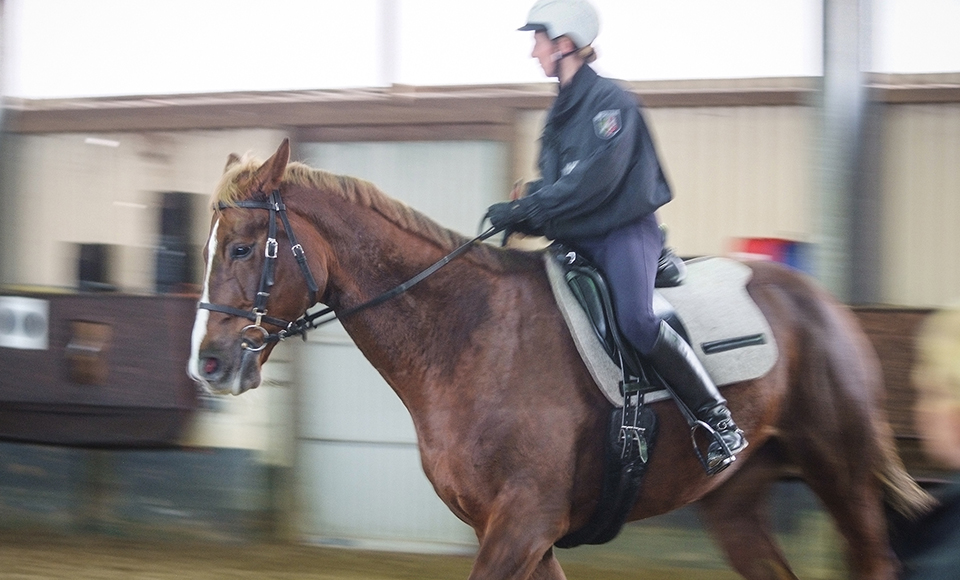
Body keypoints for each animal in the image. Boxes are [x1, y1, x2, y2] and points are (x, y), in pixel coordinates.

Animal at [189, 140, 928, 580]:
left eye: (244, 247)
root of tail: (824, 303)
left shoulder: (522, 522)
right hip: (734, 502)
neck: (468, 334)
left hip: (839, 471)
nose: (210, 365)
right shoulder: (520, 531)